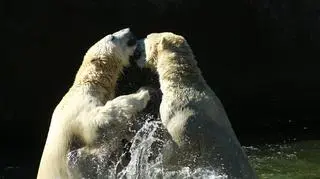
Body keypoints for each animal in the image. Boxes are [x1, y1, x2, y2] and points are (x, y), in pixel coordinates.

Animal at [37, 28, 152, 179]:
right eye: (112, 37)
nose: (129, 30)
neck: (89, 82)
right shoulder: (80, 105)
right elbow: (96, 122)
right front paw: (142, 93)